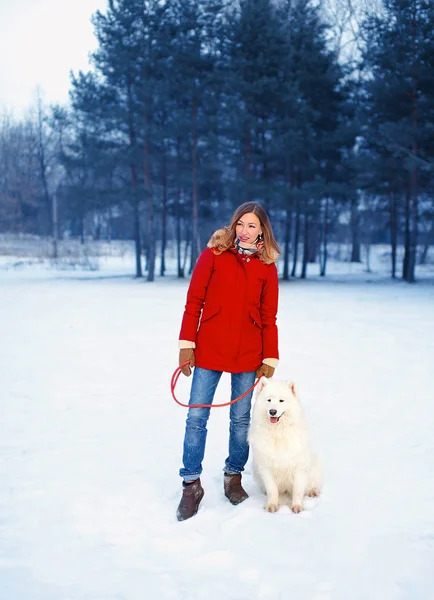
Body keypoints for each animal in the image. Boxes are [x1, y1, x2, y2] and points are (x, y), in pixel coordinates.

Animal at [248, 380, 322, 510]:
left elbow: (298, 490)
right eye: (269, 400)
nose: (272, 411)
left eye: (281, 400)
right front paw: (272, 505)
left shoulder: (299, 466)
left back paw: (313, 491)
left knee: (312, 484)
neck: (278, 432)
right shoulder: (266, 468)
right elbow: (272, 489)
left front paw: (297, 507)